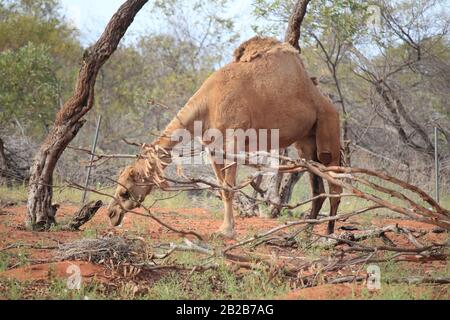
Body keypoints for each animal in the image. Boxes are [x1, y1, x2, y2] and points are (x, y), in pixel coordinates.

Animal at [108, 37, 342, 238]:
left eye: (124, 192)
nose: (112, 214)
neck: (208, 103)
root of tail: (328, 104)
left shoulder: (233, 142)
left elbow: (229, 189)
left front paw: (227, 231)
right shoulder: (212, 147)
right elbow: (221, 189)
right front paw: (224, 228)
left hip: (328, 131)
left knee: (335, 186)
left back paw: (329, 234)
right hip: (306, 143)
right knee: (318, 188)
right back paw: (306, 232)